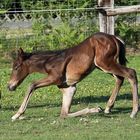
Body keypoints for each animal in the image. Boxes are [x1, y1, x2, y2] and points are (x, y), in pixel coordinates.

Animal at [7, 32, 139, 120]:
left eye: (16, 67)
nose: (10, 86)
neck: (50, 61)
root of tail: (114, 37)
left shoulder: (55, 78)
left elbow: (32, 84)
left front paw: (17, 114)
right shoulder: (68, 87)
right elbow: (64, 113)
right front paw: (95, 109)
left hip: (105, 63)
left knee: (131, 73)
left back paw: (134, 111)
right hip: (103, 66)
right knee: (120, 78)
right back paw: (108, 107)